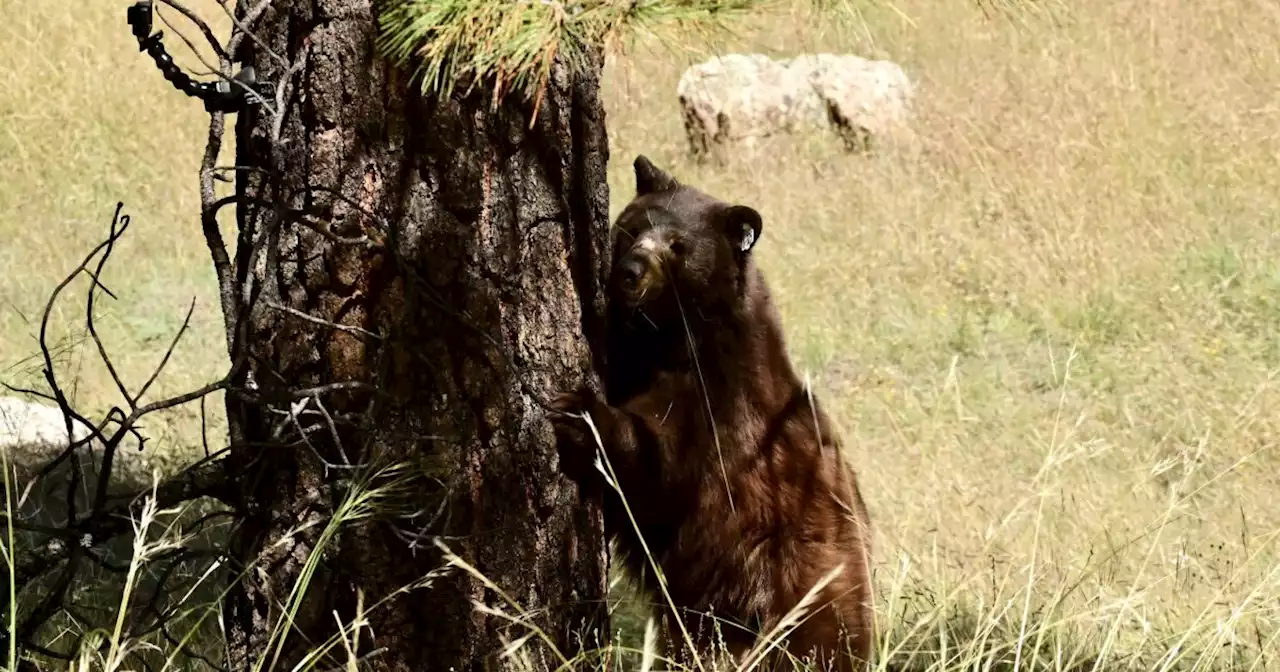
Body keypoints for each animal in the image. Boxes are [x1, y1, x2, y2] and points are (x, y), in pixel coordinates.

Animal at [550, 157, 880, 670]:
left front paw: (577, 413)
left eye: (677, 245)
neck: (673, 332)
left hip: (797, 601)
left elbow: (659, 461)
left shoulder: (719, 402)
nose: (629, 272)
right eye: (632, 227)